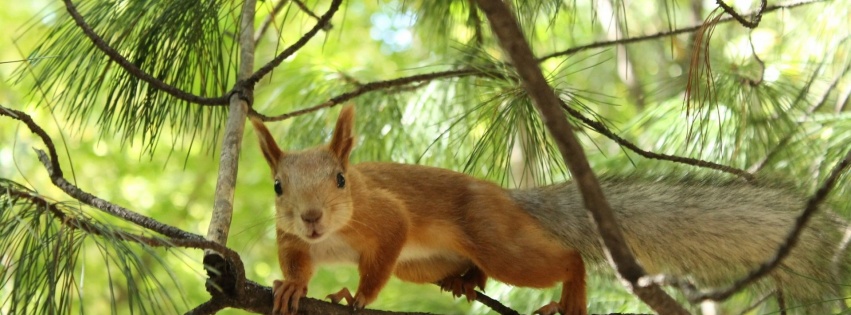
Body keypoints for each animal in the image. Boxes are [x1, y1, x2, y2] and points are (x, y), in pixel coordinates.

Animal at [250, 106, 848, 315]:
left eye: (341, 179)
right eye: (277, 187)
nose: (312, 217)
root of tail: (508, 198)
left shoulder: (385, 216)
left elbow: (382, 252)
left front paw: (354, 296)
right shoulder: (291, 239)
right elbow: (297, 262)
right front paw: (292, 287)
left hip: (494, 236)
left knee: (562, 259)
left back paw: (571, 296)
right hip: (422, 264)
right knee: (470, 269)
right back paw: (464, 282)